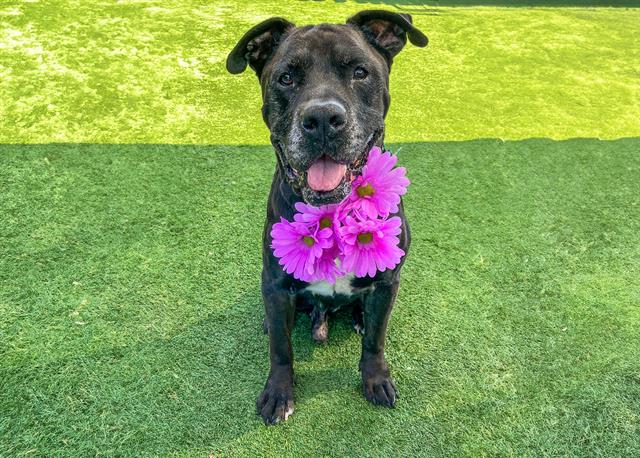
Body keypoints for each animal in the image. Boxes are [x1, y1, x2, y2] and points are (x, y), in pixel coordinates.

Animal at [228, 8, 428, 424]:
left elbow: (376, 341)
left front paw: (375, 379)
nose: (322, 118)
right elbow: (281, 349)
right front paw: (279, 392)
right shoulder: (275, 282)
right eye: (286, 77)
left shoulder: (388, 282)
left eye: (360, 72)